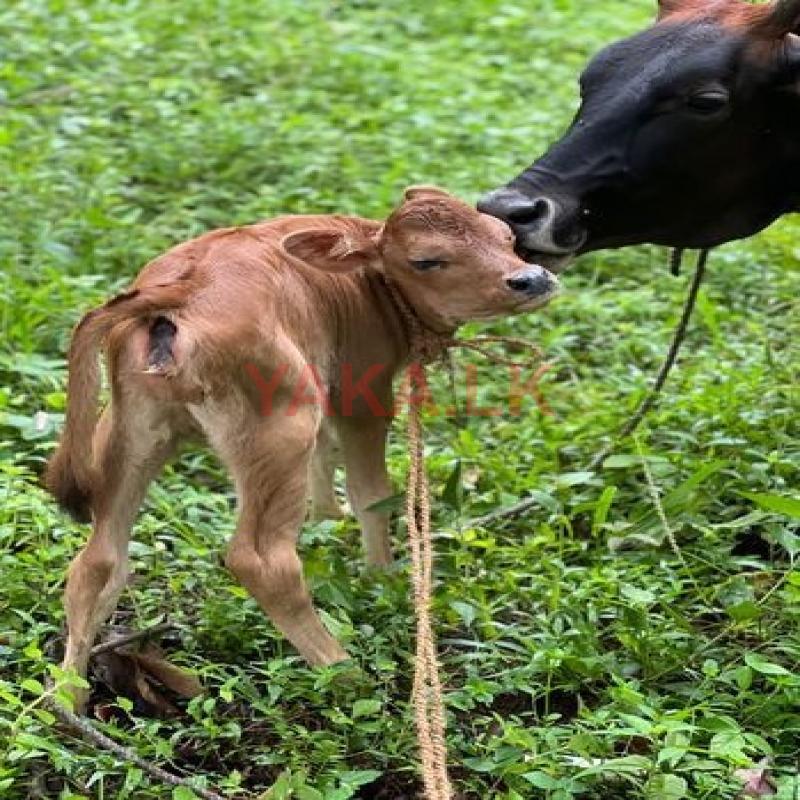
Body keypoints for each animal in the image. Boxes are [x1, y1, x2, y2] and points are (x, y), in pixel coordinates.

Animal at [45, 186, 559, 709]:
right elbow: (372, 495)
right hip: (279, 433)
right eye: (427, 260)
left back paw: (69, 699)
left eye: (504, 235)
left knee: (97, 563)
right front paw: (383, 577)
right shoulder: (361, 393)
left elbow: (325, 457)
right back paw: (344, 672)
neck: (368, 284)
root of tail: (177, 294)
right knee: (262, 561)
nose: (532, 279)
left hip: (128, 434)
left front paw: (328, 519)